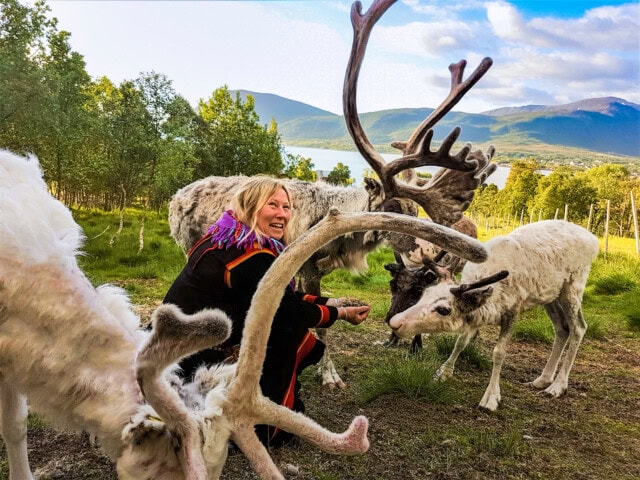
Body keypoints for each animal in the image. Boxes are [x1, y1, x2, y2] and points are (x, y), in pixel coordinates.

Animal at [168, 0, 496, 390]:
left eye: (417, 211)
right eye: (392, 206)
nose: (428, 253)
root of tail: (178, 193)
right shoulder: (308, 266)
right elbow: (318, 323)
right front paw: (330, 374)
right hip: (186, 244)